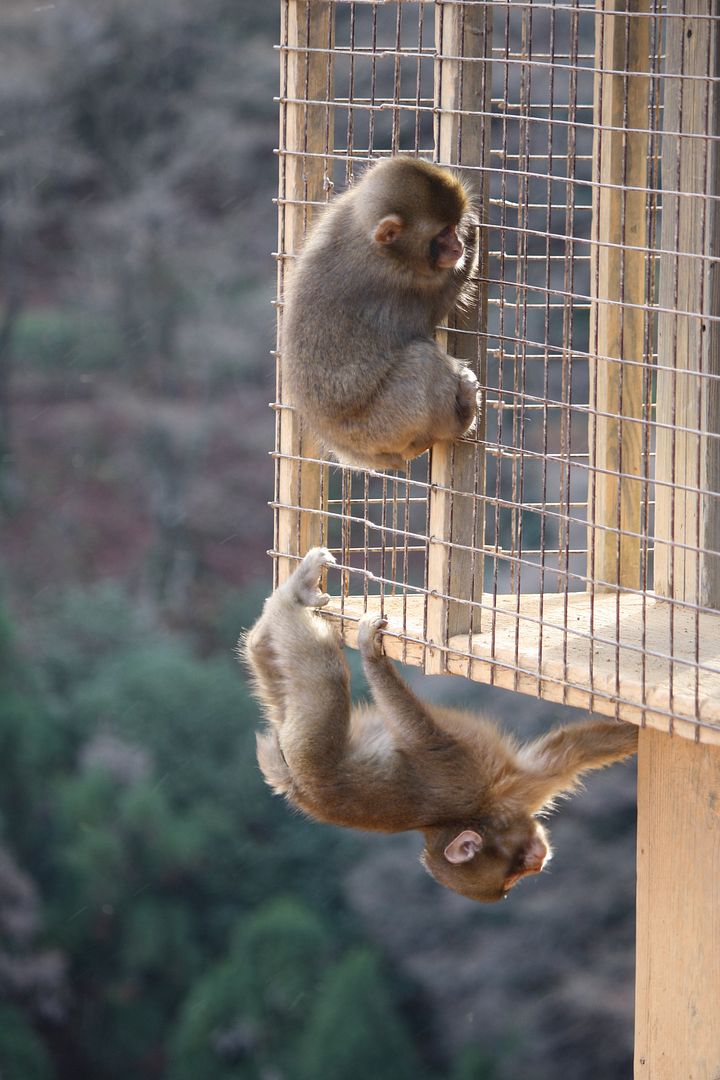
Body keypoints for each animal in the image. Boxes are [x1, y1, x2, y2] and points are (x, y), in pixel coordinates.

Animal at [243, 548, 643, 902]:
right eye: (515, 874)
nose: (540, 862)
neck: (480, 811)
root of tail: (294, 782)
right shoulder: (478, 779)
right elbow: (423, 735)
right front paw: (372, 657)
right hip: (310, 741)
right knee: (323, 673)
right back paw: (294, 595)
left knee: (279, 659)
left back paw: (268, 625)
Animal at [284, 155, 481, 468]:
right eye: (442, 234)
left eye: (453, 227)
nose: (458, 246)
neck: (377, 243)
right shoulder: (399, 278)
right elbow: (430, 311)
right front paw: (473, 242)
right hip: (382, 427)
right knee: (421, 359)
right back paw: (459, 419)